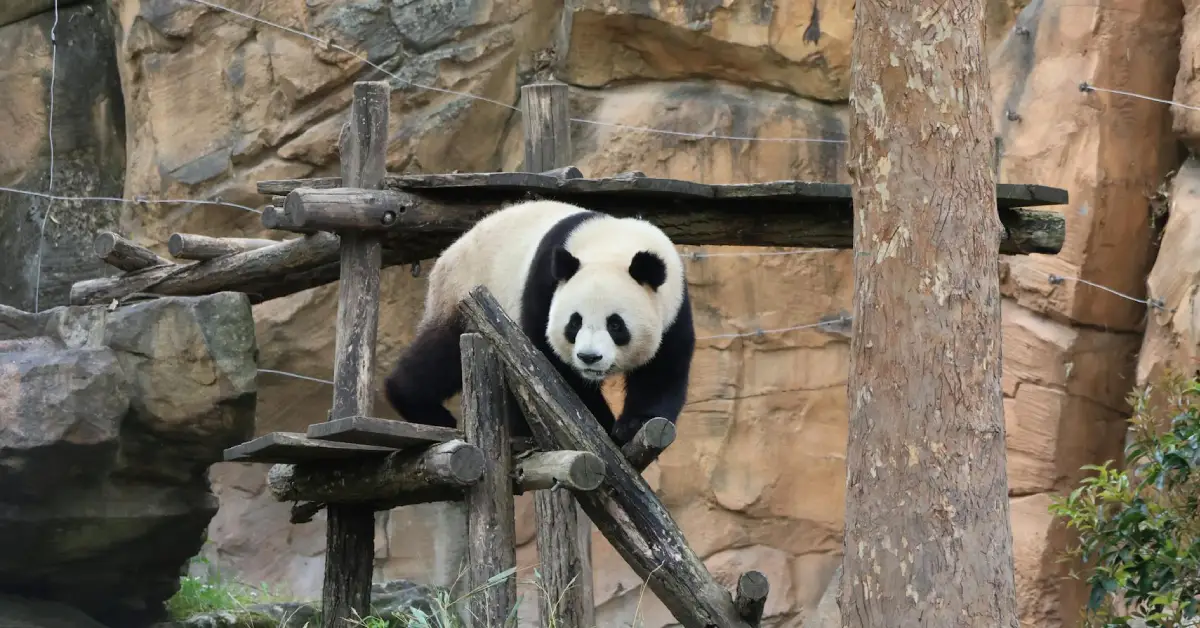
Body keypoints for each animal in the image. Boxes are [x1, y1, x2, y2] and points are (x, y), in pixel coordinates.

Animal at [383, 198, 694, 446]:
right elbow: (552, 371)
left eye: (616, 325)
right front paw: (602, 427)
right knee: (440, 356)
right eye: (574, 323)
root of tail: (447, 253)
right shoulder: (544, 286)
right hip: (464, 292)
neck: (613, 245)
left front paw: (633, 425)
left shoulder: (673, 304)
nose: (589, 357)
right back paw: (420, 404)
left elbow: (664, 368)